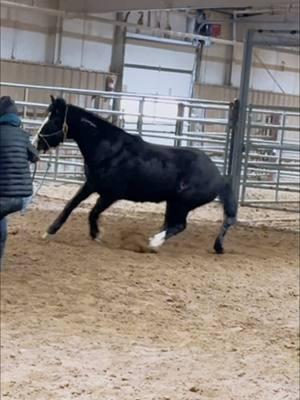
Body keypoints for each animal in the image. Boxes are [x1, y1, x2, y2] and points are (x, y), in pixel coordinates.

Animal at [37, 97, 237, 253]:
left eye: (53, 119)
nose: (38, 142)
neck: (109, 149)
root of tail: (219, 176)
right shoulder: (91, 184)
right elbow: (70, 205)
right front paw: (49, 230)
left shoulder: (111, 194)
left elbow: (93, 213)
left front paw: (96, 235)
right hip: (173, 202)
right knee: (171, 224)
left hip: (182, 203)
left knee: (179, 225)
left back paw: (154, 242)